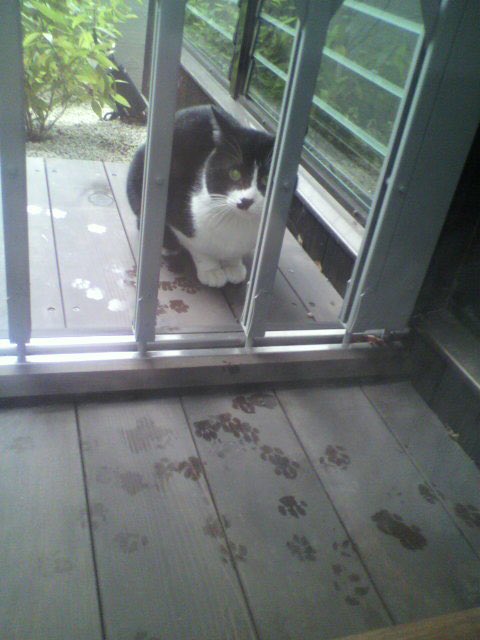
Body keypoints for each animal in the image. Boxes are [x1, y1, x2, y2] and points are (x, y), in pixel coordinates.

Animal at [126, 104, 274, 287]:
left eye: (267, 179)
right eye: (234, 173)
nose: (246, 201)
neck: (236, 222)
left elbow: (234, 255)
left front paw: (233, 265)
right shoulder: (179, 215)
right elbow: (199, 249)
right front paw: (211, 270)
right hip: (138, 170)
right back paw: (167, 245)